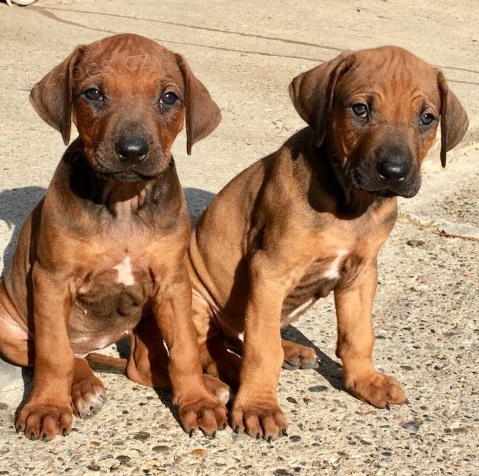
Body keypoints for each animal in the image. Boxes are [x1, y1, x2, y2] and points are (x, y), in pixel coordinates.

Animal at [0, 33, 229, 442]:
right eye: (93, 93)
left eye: (169, 97)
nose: (132, 151)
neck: (123, 202)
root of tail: (94, 344)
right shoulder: (51, 280)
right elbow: (53, 354)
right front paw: (46, 408)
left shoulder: (173, 283)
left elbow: (185, 348)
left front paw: (197, 401)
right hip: (8, 325)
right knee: (65, 354)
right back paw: (83, 386)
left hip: (148, 316)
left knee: (139, 366)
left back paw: (209, 386)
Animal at [187, 46, 468, 440]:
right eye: (360, 109)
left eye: (427, 118)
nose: (394, 173)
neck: (351, 205)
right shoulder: (270, 270)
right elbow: (262, 350)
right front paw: (258, 406)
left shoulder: (361, 274)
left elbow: (358, 335)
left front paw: (365, 381)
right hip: (196, 299)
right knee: (209, 347)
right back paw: (229, 371)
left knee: (243, 334)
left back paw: (291, 348)